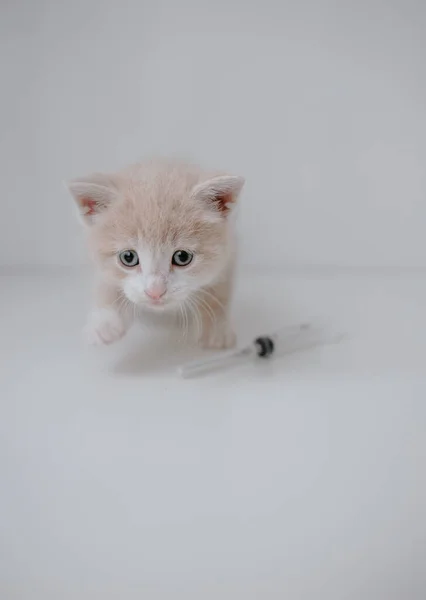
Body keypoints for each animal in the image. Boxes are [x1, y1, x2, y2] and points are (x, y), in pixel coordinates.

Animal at [68, 157, 245, 350]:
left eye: (182, 257)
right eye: (128, 257)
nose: (155, 292)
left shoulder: (229, 253)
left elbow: (218, 292)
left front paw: (215, 328)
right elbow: (106, 285)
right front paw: (104, 324)